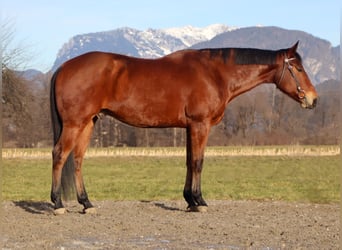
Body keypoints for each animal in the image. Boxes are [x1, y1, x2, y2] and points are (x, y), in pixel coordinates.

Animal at [50, 41, 318, 215]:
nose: (313, 99)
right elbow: (198, 162)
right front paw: (200, 201)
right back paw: (58, 204)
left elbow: (190, 161)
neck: (215, 73)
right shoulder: (200, 124)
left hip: (88, 123)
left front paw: (190, 201)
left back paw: (87, 204)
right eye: (298, 69)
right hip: (75, 124)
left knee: (77, 160)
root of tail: (63, 67)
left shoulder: (190, 127)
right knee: (60, 155)